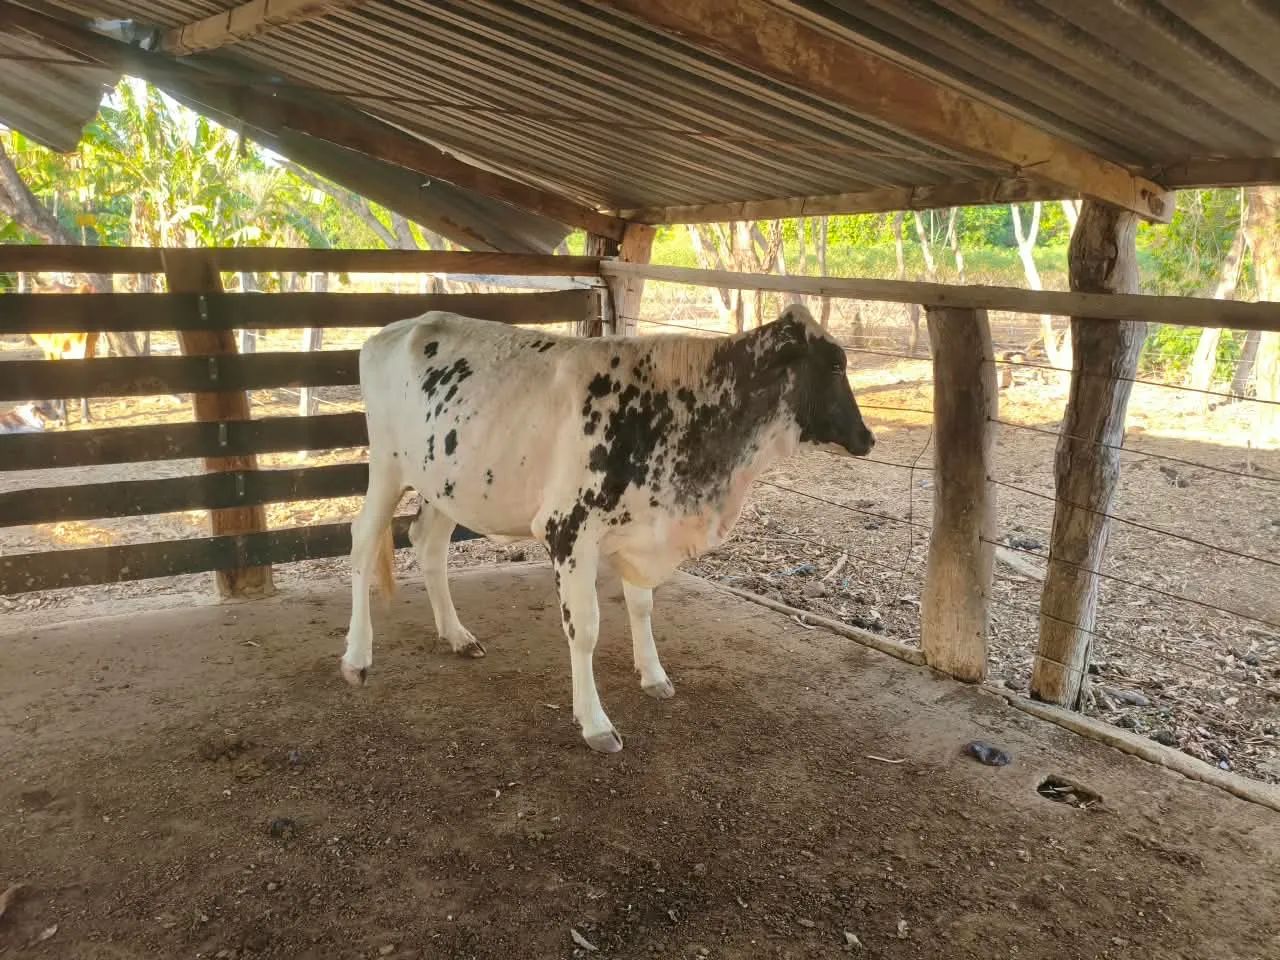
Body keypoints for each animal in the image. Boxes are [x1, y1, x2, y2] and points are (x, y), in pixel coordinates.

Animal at [341, 303, 874, 753]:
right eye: (834, 366)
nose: (868, 438)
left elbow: (642, 606)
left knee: (428, 545)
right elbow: (586, 630)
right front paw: (595, 723)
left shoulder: (639, 530)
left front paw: (653, 675)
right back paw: (356, 658)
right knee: (363, 544)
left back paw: (456, 635)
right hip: (386, 466)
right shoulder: (569, 531)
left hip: (446, 483)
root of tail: (401, 326)